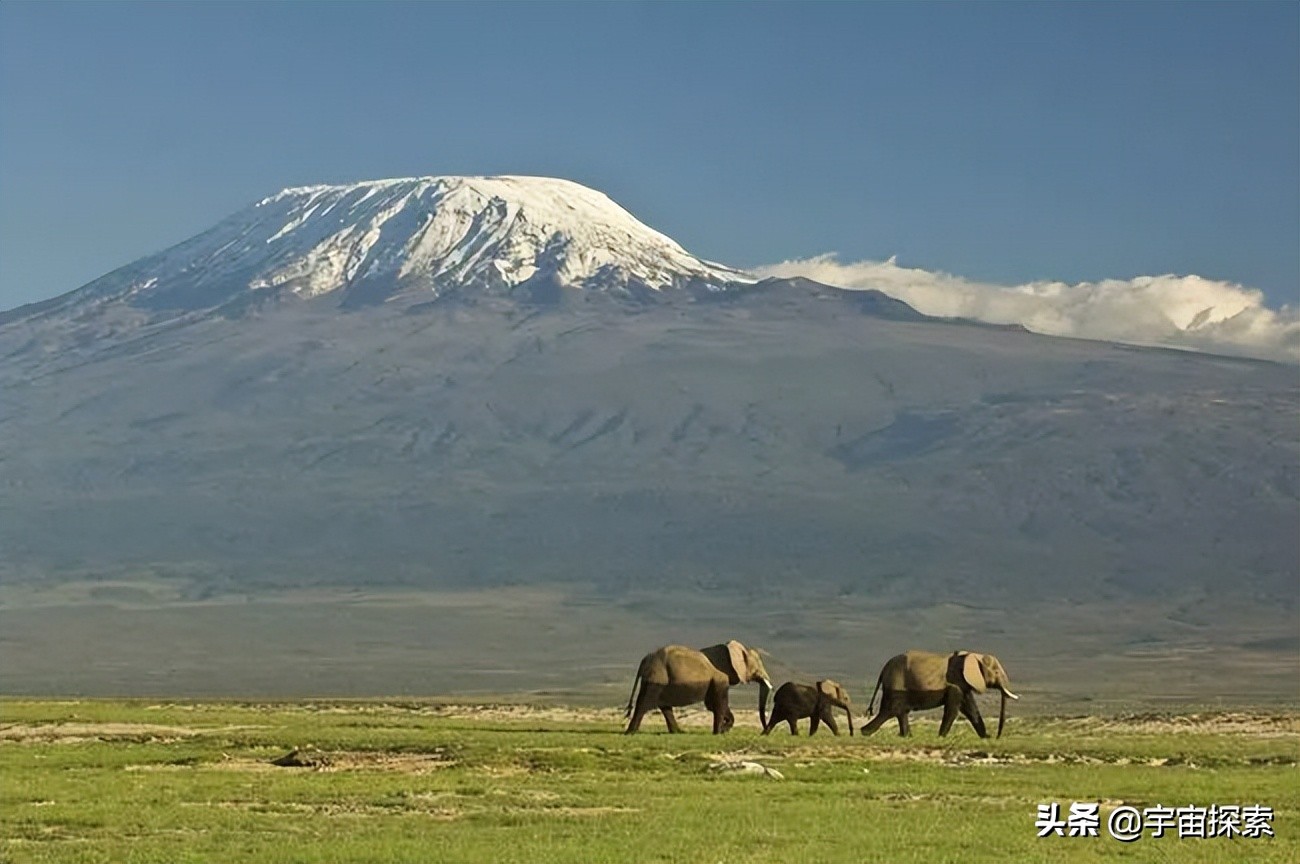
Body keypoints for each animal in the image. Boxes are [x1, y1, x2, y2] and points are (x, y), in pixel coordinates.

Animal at [626, 636, 769, 732]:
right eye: (757, 668)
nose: (763, 732)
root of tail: (645, 659)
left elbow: (712, 704)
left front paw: (725, 728)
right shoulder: (720, 677)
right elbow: (719, 703)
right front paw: (719, 732)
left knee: (664, 706)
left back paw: (678, 732)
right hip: (657, 678)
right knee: (645, 703)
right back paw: (631, 733)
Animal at [857, 649, 1019, 737]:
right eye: (996, 672)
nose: (997, 736)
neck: (973, 655)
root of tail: (884, 669)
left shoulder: (963, 684)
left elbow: (971, 709)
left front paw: (986, 737)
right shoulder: (955, 682)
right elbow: (953, 710)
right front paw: (941, 737)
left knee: (899, 712)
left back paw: (906, 736)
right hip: (897, 685)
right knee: (891, 710)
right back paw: (865, 732)